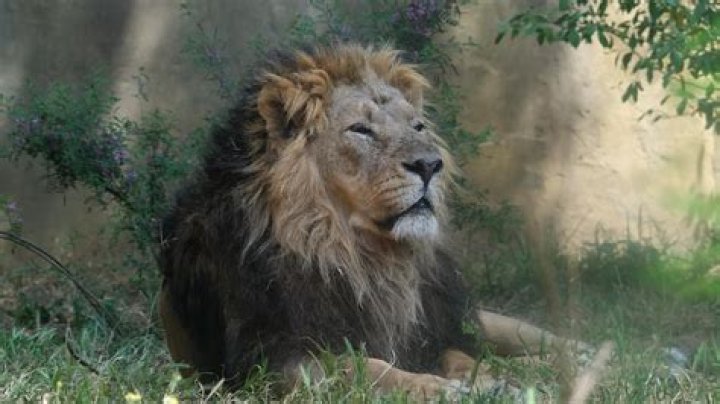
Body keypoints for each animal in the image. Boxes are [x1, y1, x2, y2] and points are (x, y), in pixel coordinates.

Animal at [158, 44, 585, 398]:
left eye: (417, 127)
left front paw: (489, 379)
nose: (430, 164)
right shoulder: (267, 360)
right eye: (360, 130)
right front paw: (439, 388)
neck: (363, 258)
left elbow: (463, 356)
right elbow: (363, 366)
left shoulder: (435, 332)